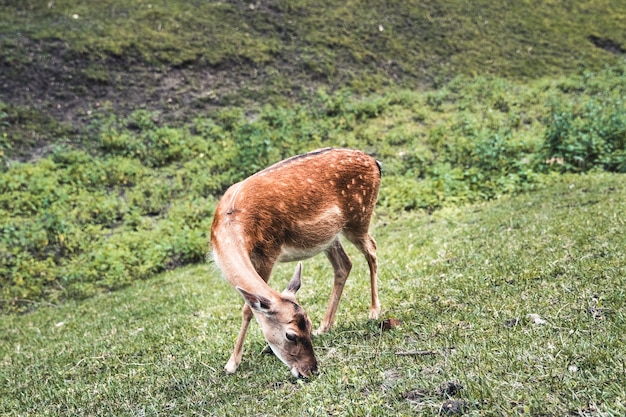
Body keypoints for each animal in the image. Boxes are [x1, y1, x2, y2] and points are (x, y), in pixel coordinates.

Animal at [210, 147, 380, 376]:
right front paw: (234, 362)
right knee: (344, 264)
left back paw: (374, 311)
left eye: (306, 326)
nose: (312, 369)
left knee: (372, 250)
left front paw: (231, 364)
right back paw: (325, 326)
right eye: (291, 334)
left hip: (359, 217)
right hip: (329, 236)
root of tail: (376, 162)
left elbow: (248, 308)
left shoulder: (268, 251)